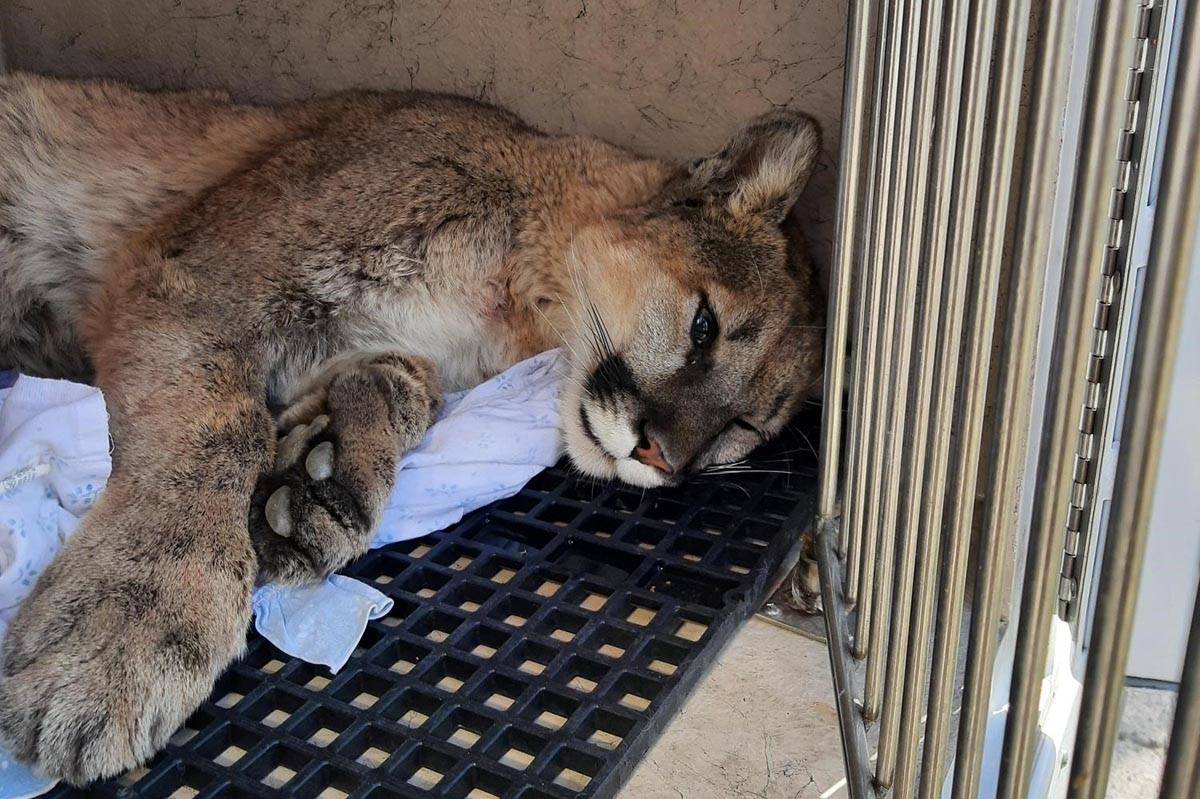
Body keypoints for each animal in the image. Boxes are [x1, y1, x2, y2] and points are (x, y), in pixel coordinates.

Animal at [0, 74, 825, 782]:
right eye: (704, 326)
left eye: (743, 424)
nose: (665, 457)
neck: (510, 293)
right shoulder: (194, 276)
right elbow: (218, 428)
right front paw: (122, 634)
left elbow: (405, 382)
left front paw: (321, 472)